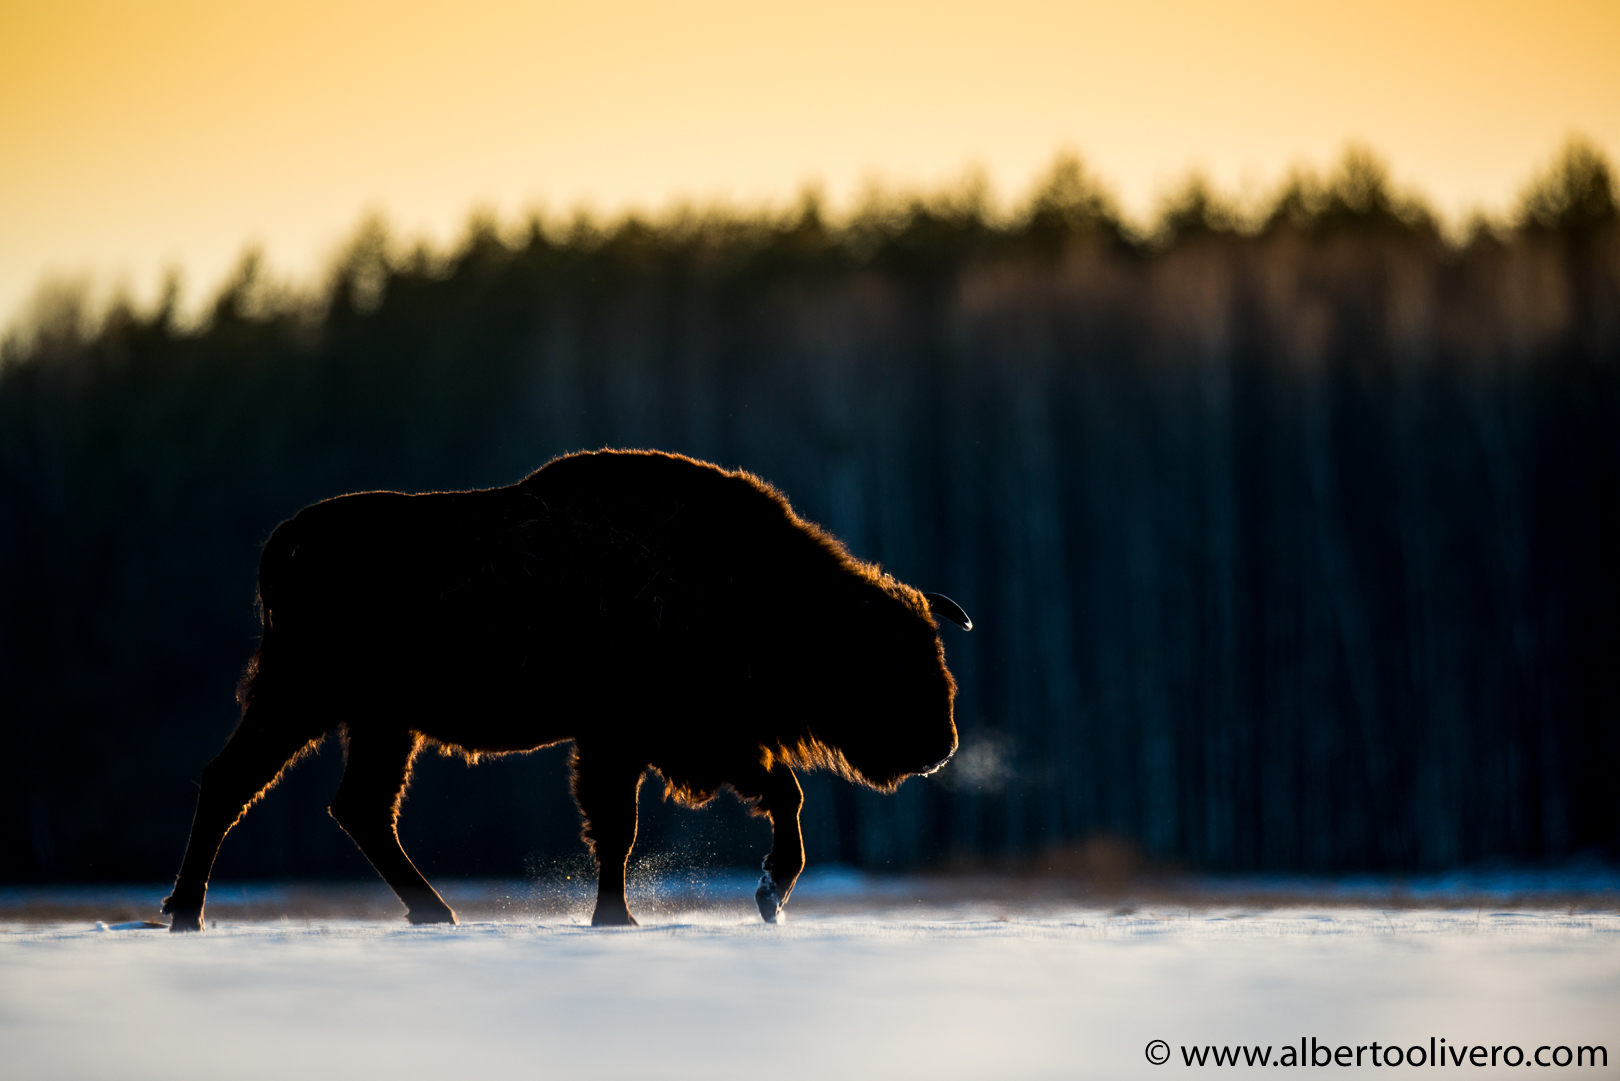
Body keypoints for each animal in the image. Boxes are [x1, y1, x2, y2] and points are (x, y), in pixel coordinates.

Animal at [163, 449, 969, 930]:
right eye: (893, 662)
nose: (940, 746)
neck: (755, 590)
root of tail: (291, 539)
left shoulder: (671, 742)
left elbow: (760, 800)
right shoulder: (641, 737)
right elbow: (630, 824)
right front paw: (640, 914)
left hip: (381, 722)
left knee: (356, 806)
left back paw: (435, 914)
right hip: (304, 697)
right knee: (235, 782)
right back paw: (187, 913)